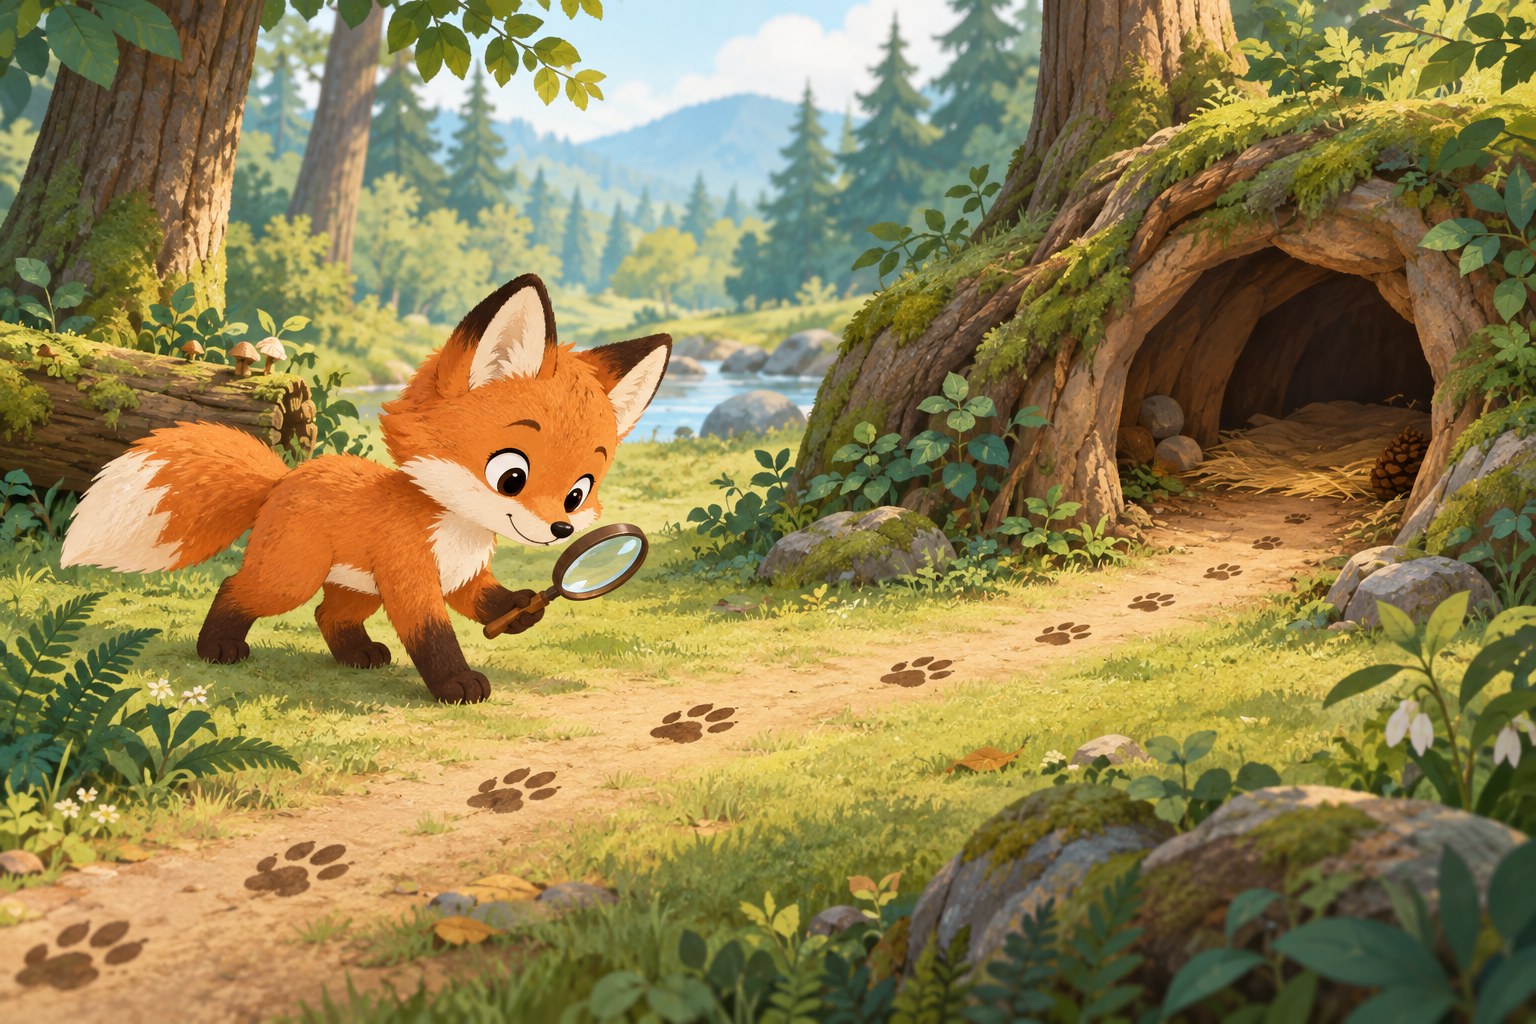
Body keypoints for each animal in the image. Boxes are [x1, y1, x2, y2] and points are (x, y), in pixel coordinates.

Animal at [60, 274, 671, 703]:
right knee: (238, 586)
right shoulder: (410, 579)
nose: (562, 529)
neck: (455, 528)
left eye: (579, 490)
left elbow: (484, 603)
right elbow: (433, 636)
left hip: (355, 586)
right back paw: (218, 647)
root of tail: (283, 477)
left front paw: (522, 610)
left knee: (327, 617)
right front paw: (456, 685)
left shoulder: (464, 577)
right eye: (511, 476)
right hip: (292, 576)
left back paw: (357, 655)